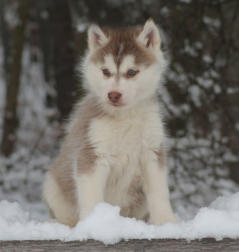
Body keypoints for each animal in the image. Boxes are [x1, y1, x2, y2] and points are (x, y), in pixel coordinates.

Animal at [43, 17, 176, 226]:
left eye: (132, 72)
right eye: (105, 71)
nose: (113, 95)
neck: (125, 117)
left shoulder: (152, 152)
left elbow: (159, 193)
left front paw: (167, 222)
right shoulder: (92, 154)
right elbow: (91, 197)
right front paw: (95, 224)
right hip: (52, 183)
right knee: (67, 215)